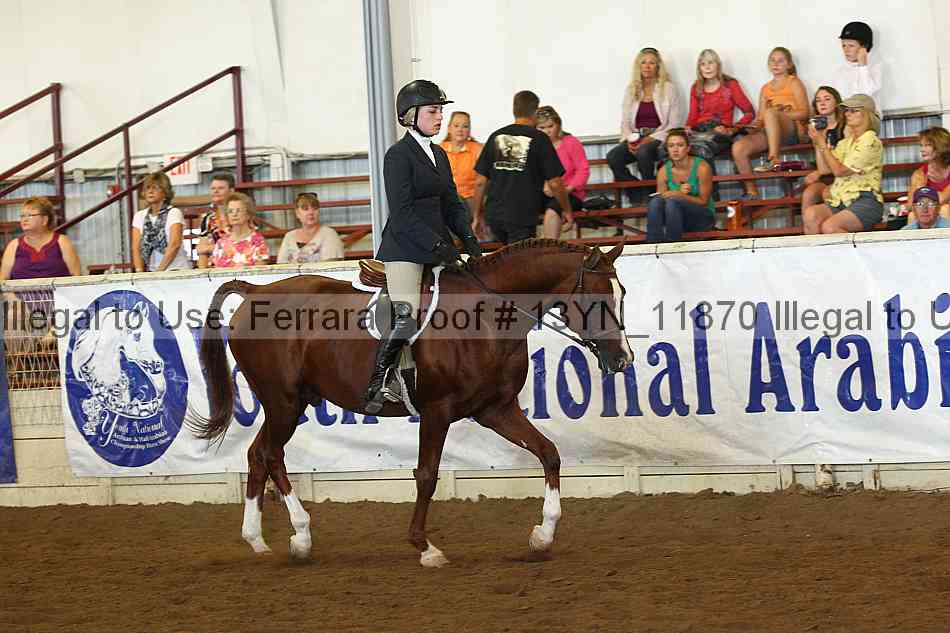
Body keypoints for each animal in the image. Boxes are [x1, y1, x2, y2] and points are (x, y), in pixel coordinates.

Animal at [188, 239, 632, 567]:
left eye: (621, 295)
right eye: (596, 300)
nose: (623, 360)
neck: (487, 317)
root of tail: (256, 291)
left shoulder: (495, 410)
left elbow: (549, 453)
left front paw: (542, 536)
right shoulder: (437, 411)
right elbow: (427, 476)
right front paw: (425, 547)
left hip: (290, 404)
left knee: (258, 454)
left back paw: (260, 540)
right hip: (282, 401)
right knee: (269, 453)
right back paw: (300, 536)